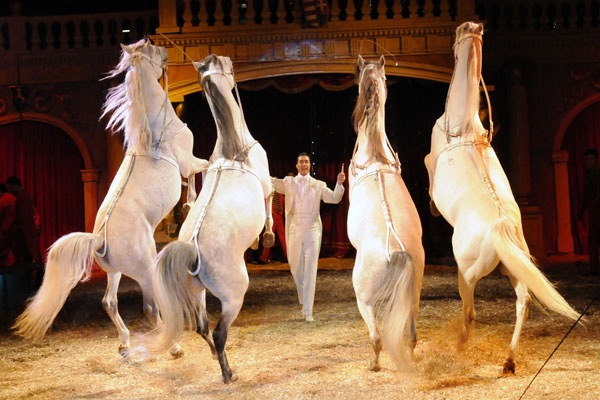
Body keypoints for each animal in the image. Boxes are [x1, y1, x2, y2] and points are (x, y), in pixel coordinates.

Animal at [12, 38, 208, 359]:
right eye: (151, 46)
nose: (165, 51)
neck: (155, 129)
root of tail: (99, 240)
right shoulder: (188, 161)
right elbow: (200, 169)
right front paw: (191, 201)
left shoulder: (187, 164)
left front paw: (188, 204)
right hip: (146, 270)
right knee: (150, 308)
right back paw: (173, 346)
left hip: (115, 272)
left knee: (109, 302)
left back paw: (125, 344)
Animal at [140, 54, 273, 384]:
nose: (231, 63)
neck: (233, 150)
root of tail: (192, 250)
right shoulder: (267, 184)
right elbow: (271, 203)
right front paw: (264, 238)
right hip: (233, 295)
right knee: (219, 332)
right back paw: (229, 374)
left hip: (197, 292)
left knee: (202, 327)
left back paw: (217, 359)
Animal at [424, 22, 579, 373]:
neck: (463, 126)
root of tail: (500, 225)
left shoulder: (431, 160)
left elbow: (426, 173)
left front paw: (433, 208)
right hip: (514, 269)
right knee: (523, 302)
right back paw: (508, 360)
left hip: (467, 273)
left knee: (470, 311)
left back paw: (460, 346)